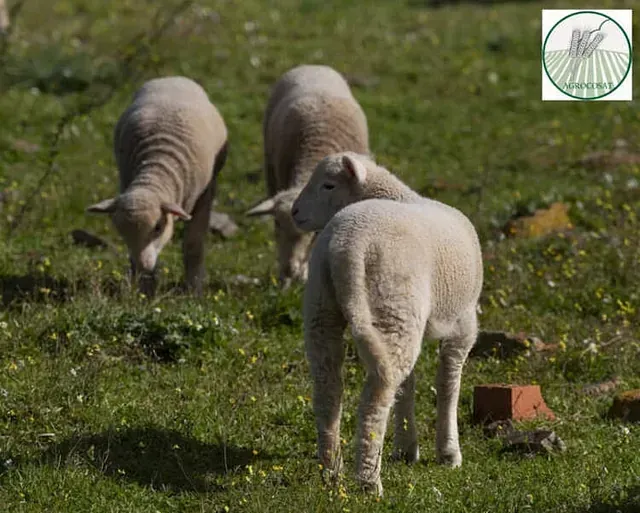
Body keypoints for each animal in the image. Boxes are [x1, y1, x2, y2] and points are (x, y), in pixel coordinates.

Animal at [87, 76, 228, 296]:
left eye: (158, 227)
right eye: (121, 231)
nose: (143, 265)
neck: (156, 171)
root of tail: (173, 77)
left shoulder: (205, 196)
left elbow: (194, 245)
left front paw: (194, 291)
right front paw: (145, 291)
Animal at [245, 64, 369, 288]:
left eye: (308, 231)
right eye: (277, 224)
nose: (289, 269)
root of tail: (315, 66)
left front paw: (303, 275)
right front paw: (285, 281)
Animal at [293, 156, 483, 495]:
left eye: (328, 185)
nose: (294, 212)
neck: (400, 196)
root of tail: (347, 245)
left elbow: (410, 384)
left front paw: (407, 448)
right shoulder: (463, 321)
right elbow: (449, 383)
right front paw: (449, 452)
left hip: (325, 307)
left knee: (329, 387)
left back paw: (332, 470)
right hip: (393, 299)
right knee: (377, 395)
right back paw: (370, 481)